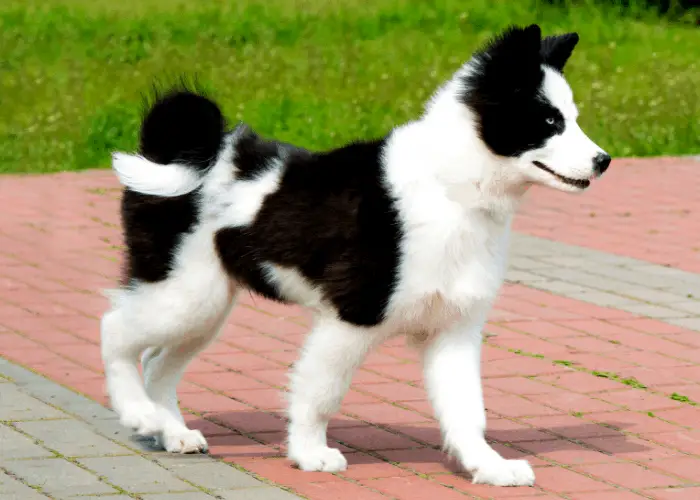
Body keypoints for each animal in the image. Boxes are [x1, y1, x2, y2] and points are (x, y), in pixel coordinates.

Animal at [101, 25, 608, 486]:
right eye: (549, 122)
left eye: (572, 117)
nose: (603, 161)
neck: (452, 185)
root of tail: (179, 149)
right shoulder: (350, 318)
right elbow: (321, 392)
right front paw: (310, 454)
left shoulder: (454, 329)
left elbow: (467, 408)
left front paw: (489, 466)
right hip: (184, 293)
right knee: (116, 332)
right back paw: (139, 414)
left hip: (204, 305)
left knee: (159, 364)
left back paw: (172, 432)